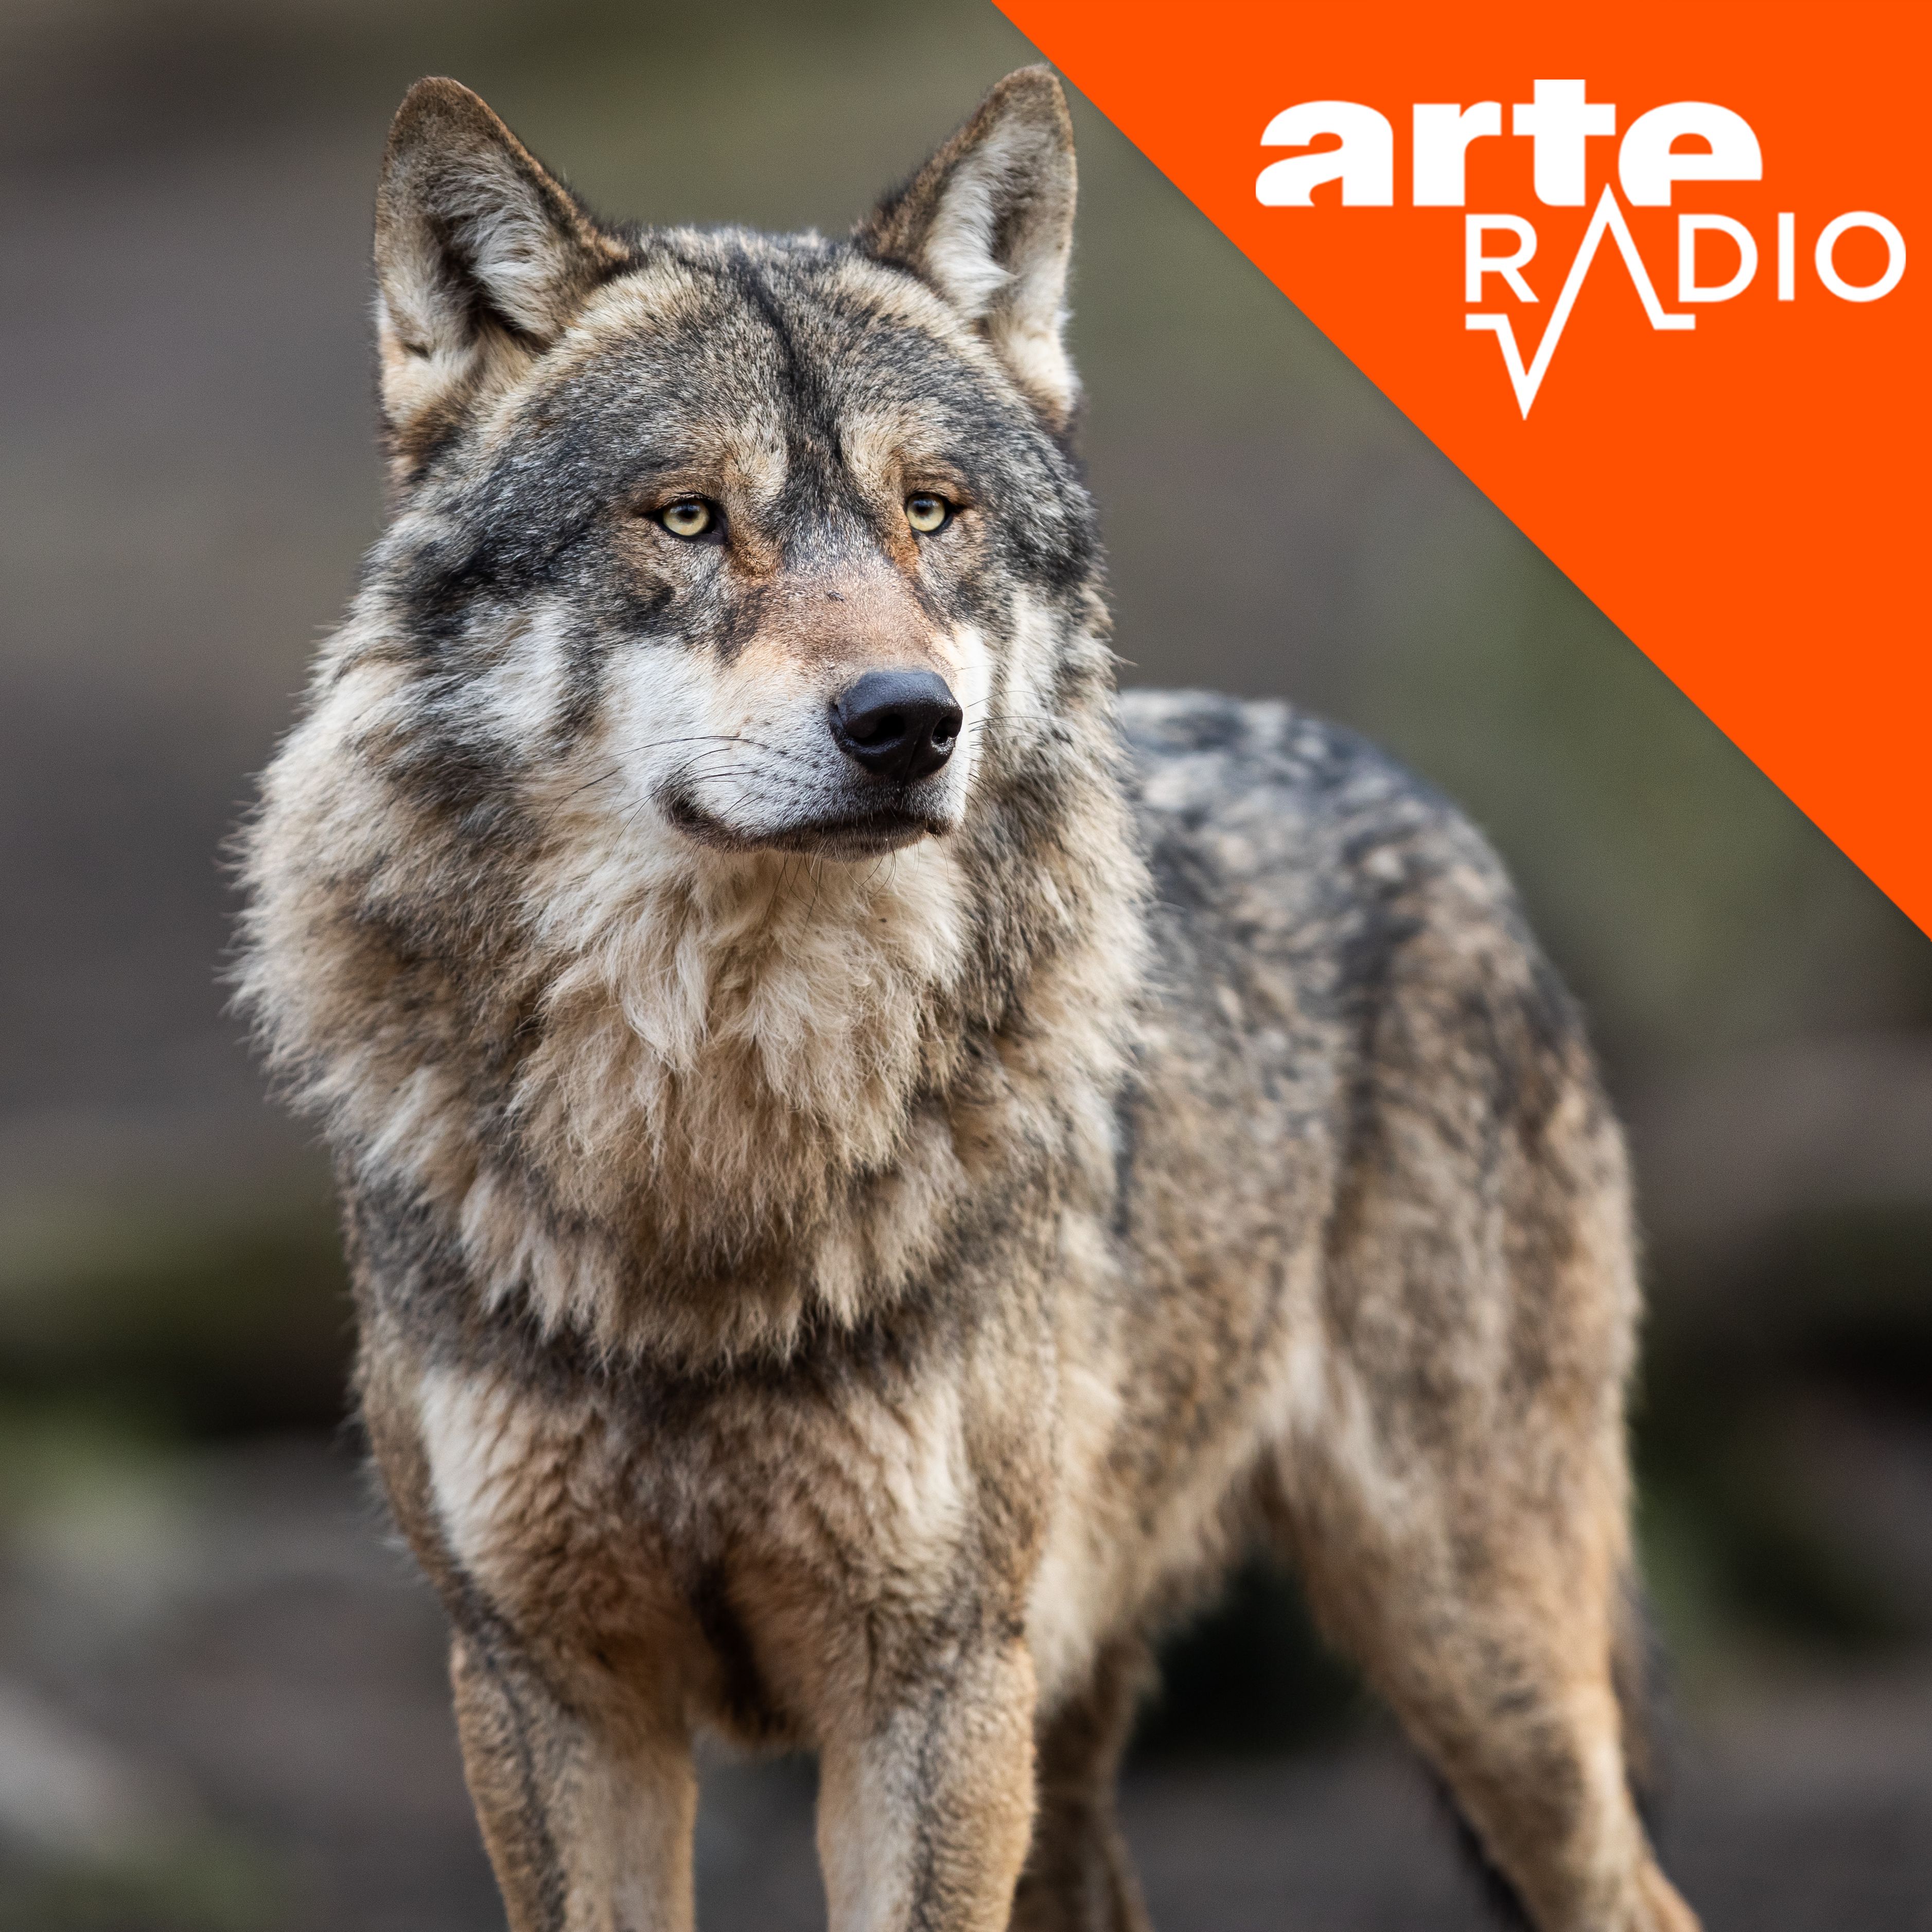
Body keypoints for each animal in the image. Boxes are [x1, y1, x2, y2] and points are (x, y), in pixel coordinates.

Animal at [237, 66, 1698, 1932]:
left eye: (930, 511)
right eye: (687, 515)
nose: (905, 721)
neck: (713, 1146)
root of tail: (1417, 797)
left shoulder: (926, 1688)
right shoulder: (543, 1686)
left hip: (1467, 1656)